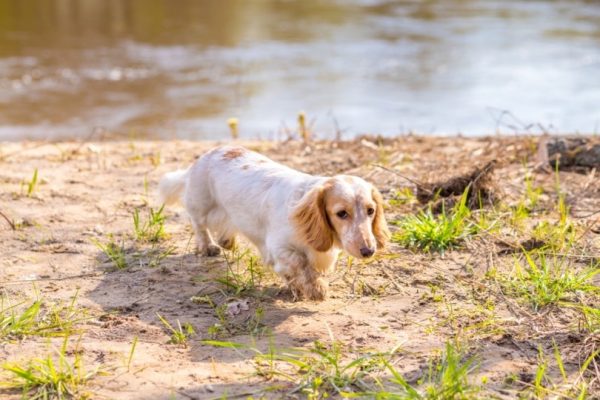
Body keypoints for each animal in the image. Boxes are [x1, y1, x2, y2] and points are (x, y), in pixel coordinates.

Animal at [159, 145, 390, 298]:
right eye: (341, 213)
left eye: (370, 211)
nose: (368, 251)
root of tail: (207, 155)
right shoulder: (279, 247)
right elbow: (300, 264)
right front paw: (316, 289)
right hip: (200, 204)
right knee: (199, 226)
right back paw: (208, 247)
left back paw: (227, 241)